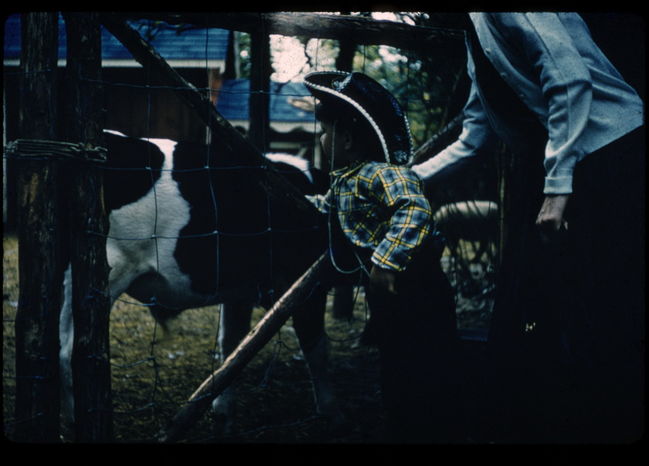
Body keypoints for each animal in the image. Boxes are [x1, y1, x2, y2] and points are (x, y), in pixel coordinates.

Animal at [58, 129, 336, 438]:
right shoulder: (308, 283)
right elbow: (317, 351)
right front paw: (327, 414)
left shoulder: (240, 293)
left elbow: (233, 346)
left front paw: (223, 415)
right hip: (110, 269)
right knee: (71, 352)